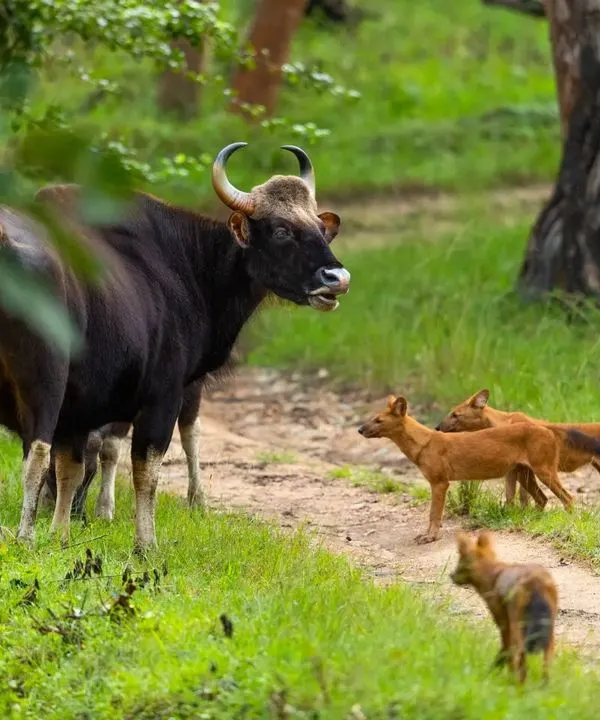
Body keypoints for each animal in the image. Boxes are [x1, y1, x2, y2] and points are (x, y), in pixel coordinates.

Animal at [0, 142, 350, 550]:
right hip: (46, 381)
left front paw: (62, 535)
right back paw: (25, 537)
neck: (189, 265)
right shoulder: (162, 394)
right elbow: (146, 470)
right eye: (281, 231)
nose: (337, 277)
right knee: (37, 454)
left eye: (320, 230)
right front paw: (146, 545)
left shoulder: (82, 406)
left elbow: (72, 466)